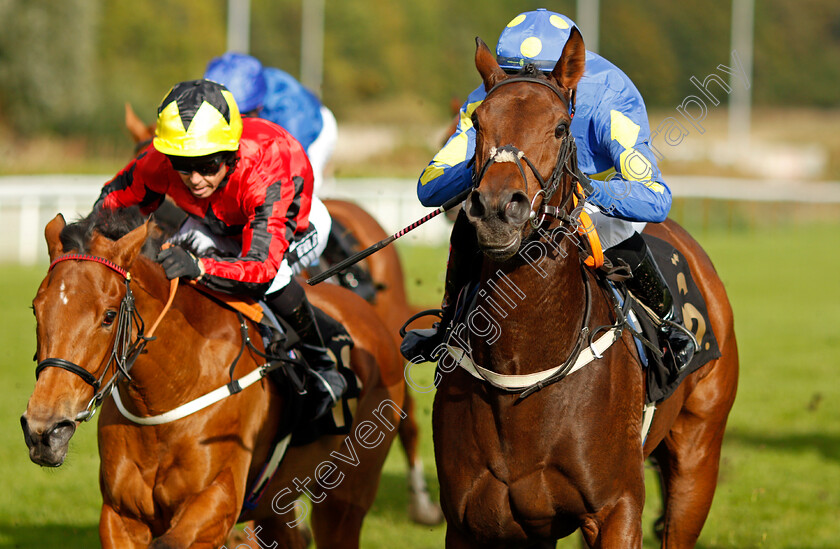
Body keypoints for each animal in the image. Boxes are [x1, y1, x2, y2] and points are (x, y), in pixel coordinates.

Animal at [23, 209, 406, 544]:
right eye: (36, 309)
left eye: (109, 315)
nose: (45, 430)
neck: (171, 390)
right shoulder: (121, 516)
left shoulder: (215, 504)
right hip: (275, 500)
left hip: (348, 492)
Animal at [430, 32, 740, 544]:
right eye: (477, 122)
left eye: (559, 128)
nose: (496, 209)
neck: (523, 366)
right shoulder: (473, 522)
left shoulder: (618, 507)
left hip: (699, 454)